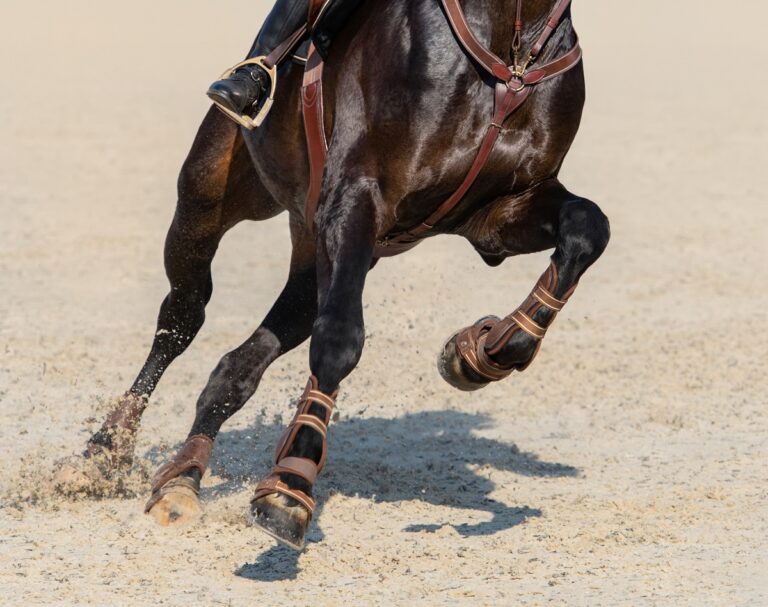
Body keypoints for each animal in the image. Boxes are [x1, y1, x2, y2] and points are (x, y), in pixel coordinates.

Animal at [55, 0, 610, 551]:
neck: (510, 55)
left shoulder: (496, 215)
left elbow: (588, 228)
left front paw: (483, 351)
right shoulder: (355, 201)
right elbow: (340, 340)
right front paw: (290, 486)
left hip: (313, 252)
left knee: (238, 367)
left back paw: (183, 479)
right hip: (208, 197)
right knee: (181, 319)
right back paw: (104, 452)